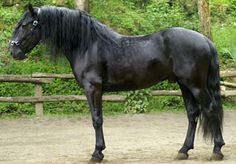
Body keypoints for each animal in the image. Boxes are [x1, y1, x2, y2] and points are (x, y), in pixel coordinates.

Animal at [10, 4, 225, 162]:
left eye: (26, 25)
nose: (13, 50)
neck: (87, 44)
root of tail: (206, 40)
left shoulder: (93, 89)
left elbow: (97, 119)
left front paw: (97, 153)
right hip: (184, 85)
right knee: (193, 114)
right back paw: (183, 150)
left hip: (196, 85)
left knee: (211, 109)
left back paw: (217, 150)